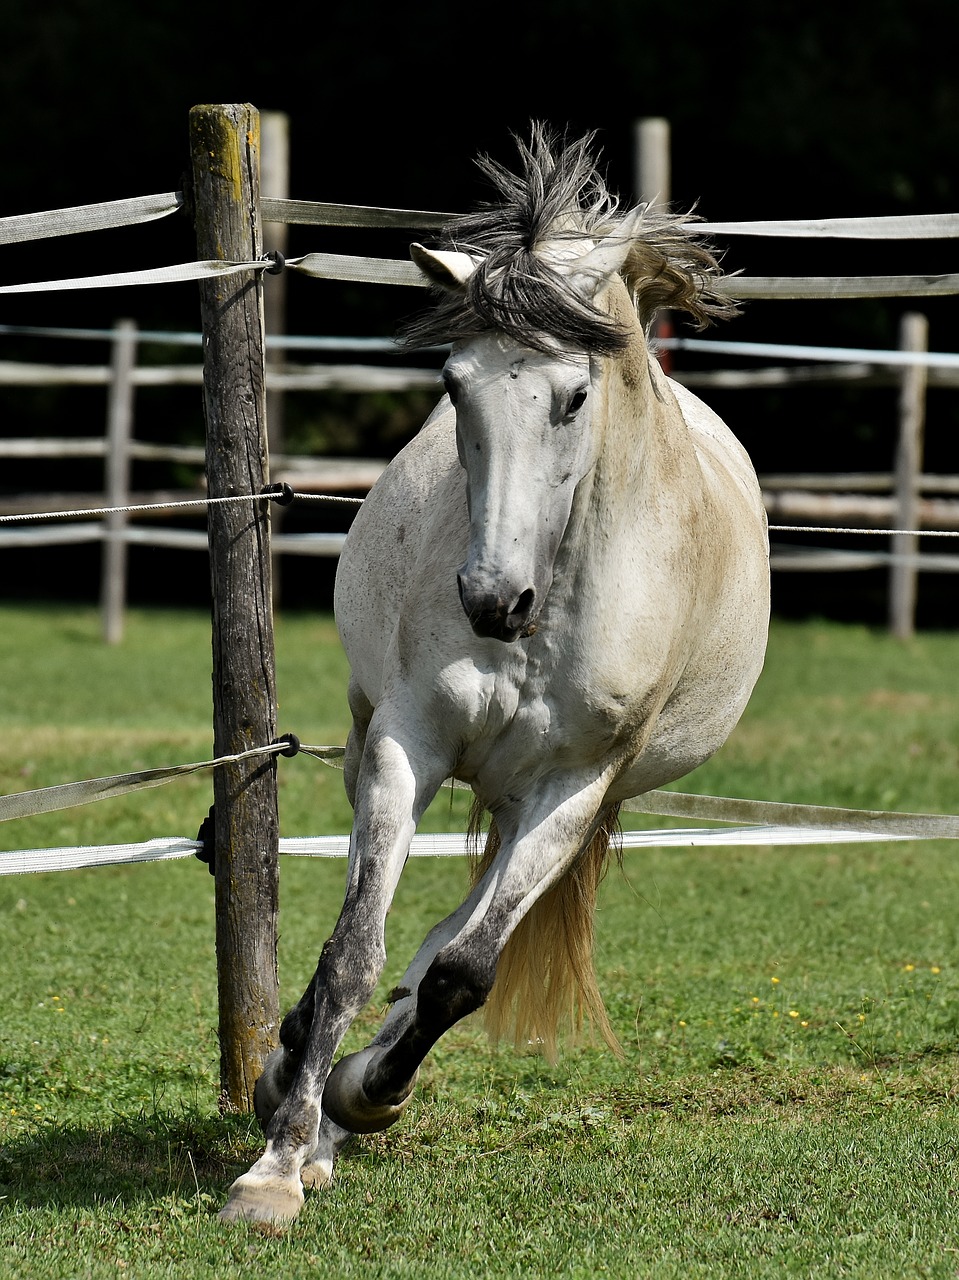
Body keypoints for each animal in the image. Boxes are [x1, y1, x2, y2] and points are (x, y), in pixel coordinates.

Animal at [218, 124, 768, 1223]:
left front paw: (364, 1094)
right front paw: (277, 1164)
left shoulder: (575, 786)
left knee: (450, 938)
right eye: (451, 383)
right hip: (380, 747)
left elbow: (462, 971)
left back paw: (351, 1088)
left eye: (574, 394)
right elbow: (351, 953)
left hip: (543, 807)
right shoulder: (405, 745)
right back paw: (303, 1090)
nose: (488, 598)